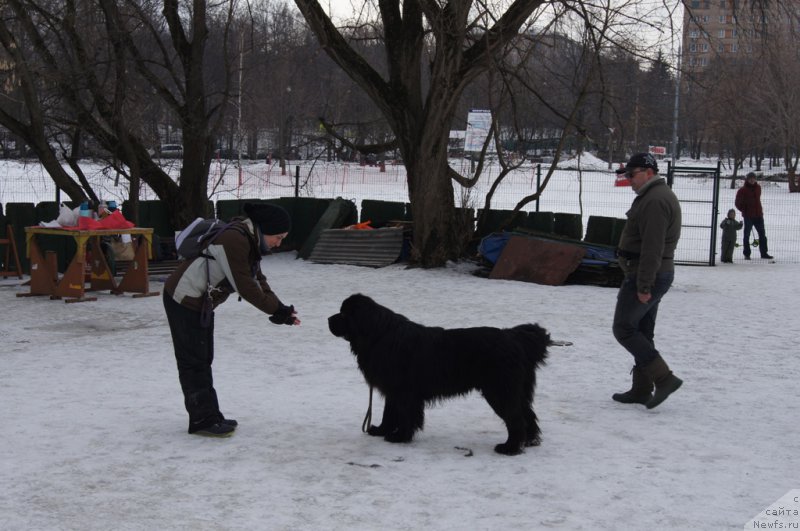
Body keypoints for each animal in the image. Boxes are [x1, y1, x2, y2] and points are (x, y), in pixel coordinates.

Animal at [326, 294, 552, 456]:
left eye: (344, 314)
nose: (328, 318)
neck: (377, 335)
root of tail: (514, 338)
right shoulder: (393, 390)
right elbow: (389, 413)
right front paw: (381, 430)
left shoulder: (405, 392)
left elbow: (405, 415)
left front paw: (400, 437)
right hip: (515, 391)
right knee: (528, 415)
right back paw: (528, 442)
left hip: (499, 391)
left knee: (516, 419)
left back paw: (509, 448)